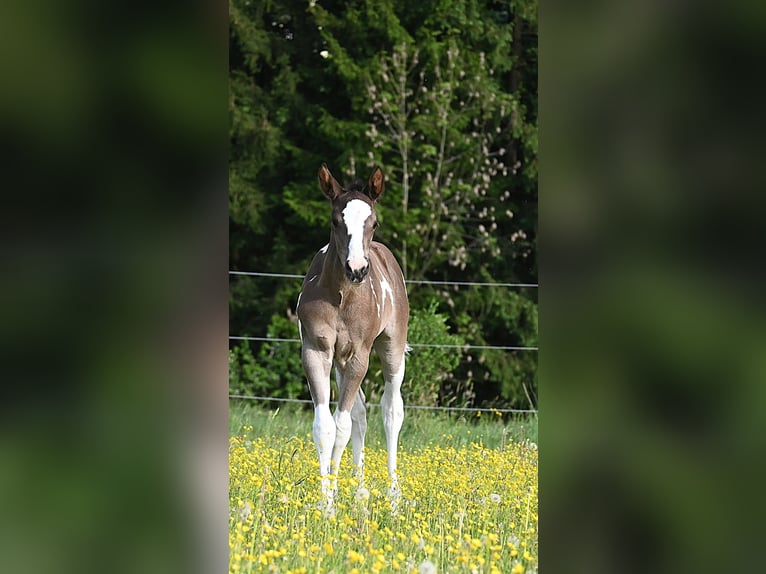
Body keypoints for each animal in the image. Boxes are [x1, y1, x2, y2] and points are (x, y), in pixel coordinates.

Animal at [296, 164, 409, 514]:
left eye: (374, 222)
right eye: (336, 221)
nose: (357, 269)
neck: (341, 296)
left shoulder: (360, 354)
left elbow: (342, 425)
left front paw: (330, 503)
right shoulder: (317, 352)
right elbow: (326, 426)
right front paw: (326, 503)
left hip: (391, 347)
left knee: (391, 411)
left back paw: (393, 497)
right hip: (341, 363)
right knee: (360, 414)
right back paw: (360, 493)